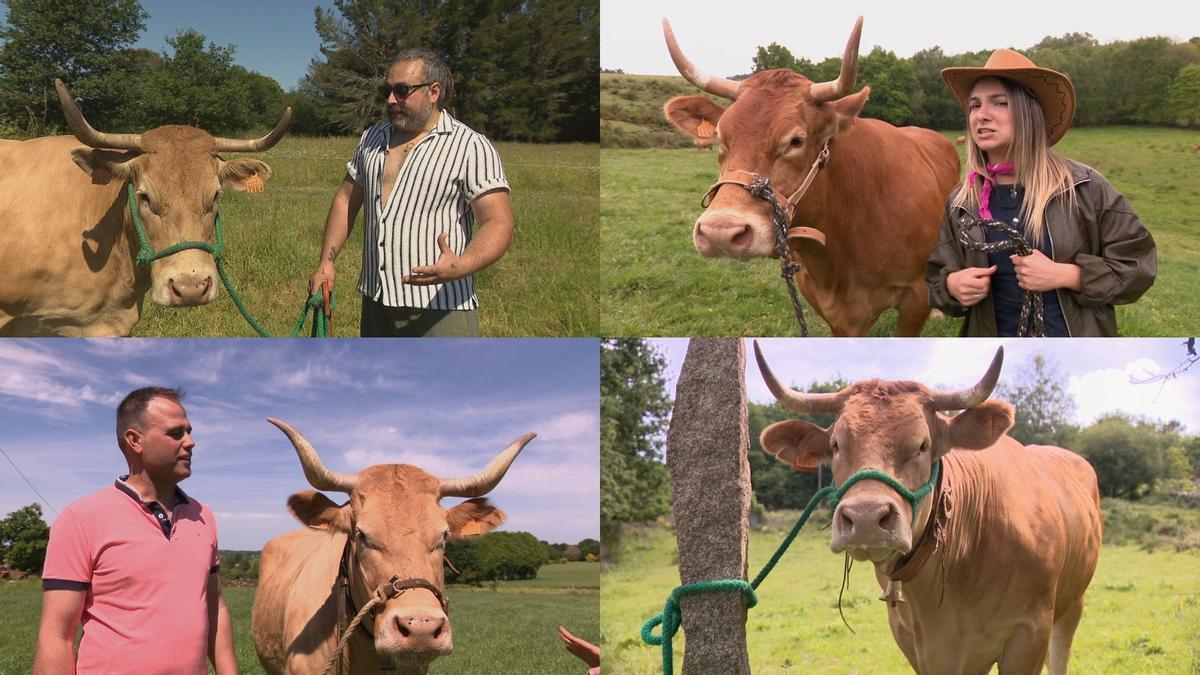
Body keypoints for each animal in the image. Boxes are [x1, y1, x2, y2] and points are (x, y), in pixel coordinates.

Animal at [754, 343, 1102, 674]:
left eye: (922, 445)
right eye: (836, 445)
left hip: (1073, 606)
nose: (866, 518)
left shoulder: (1031, 633)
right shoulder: (913, 640)